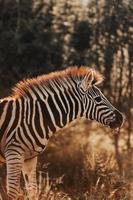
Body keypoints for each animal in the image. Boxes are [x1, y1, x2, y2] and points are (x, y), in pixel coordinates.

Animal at [0, 67, 123, 198]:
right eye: (98, 99)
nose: (121, 118)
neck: (32, 117)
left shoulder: (30, 158)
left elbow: (33, 191)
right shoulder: (14, 154)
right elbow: (12, 193)